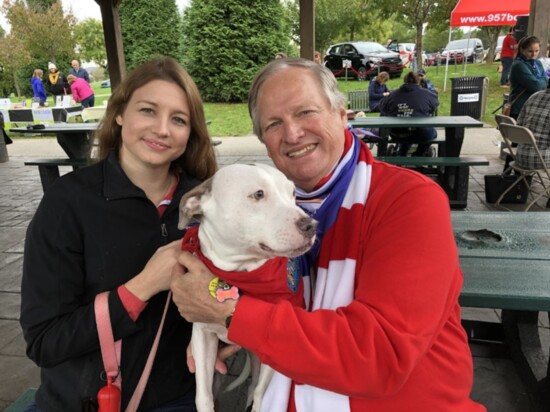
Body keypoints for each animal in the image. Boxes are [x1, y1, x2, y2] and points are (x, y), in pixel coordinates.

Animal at [179, 163, 316, 412]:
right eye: (259, 194)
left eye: (292, 193)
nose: (311, 225)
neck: (240, 273)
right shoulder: (202, 336)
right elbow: (203, 394)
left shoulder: (272, 349)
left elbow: (262, 390)